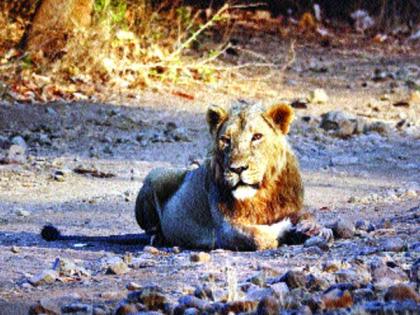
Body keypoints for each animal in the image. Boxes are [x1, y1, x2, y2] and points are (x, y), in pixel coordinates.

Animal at [135, 100, 332, 251]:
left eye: (257, 137)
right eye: (225, 140)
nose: (237, 169)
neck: (262, 194)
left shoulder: (293, 207)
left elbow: (308, 215)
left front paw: (315, 229)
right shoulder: (225, 230)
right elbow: (259, 235)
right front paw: (287, 227)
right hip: (155, 174)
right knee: (149, 230)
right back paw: (158, 237)